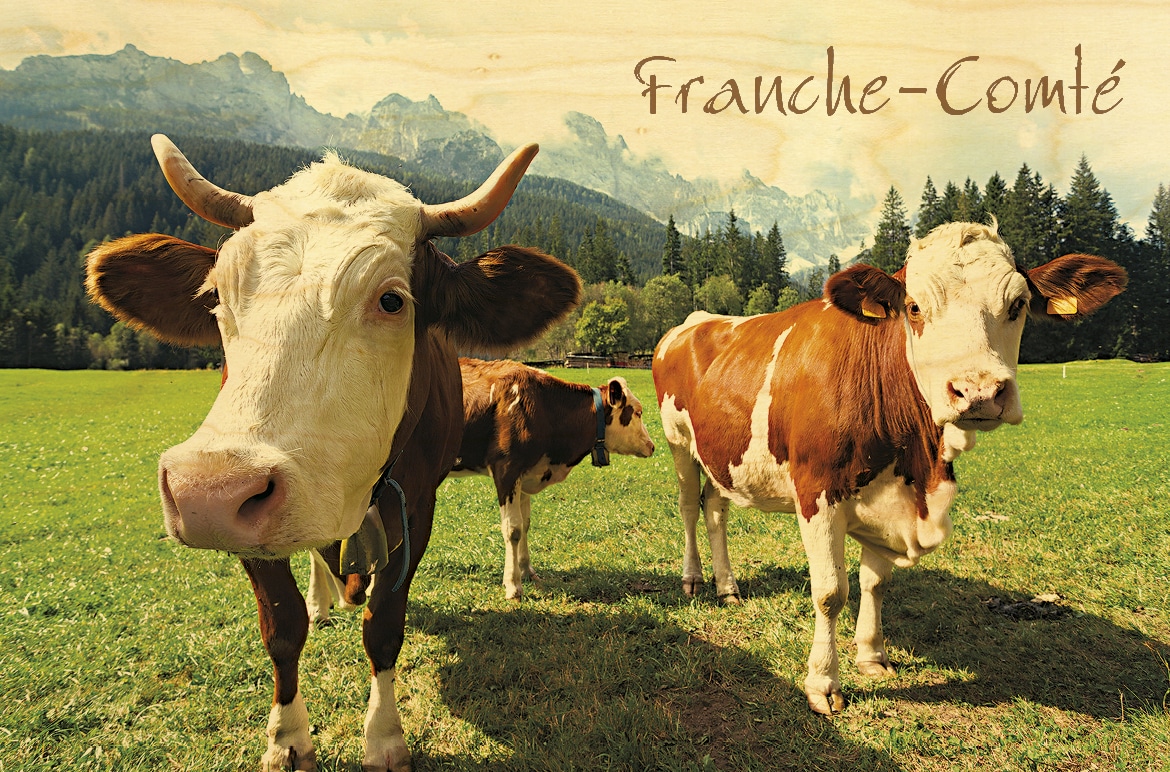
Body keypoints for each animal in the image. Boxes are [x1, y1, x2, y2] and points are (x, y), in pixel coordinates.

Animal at [85, 134, 581, 771]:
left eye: (392, 300)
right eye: (217, 295)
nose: (206, 492)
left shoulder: (416, 508)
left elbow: (383, 626)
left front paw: (384, 738)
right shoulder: (251, 526)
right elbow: (281, 626)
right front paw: (287, 738)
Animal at [652, 220, 1126, 715]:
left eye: (1018, 305)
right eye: (914, 307)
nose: (978, 391)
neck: (917, 462)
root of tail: (697, 320)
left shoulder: (890, 498)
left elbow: (875, 582)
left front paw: (871, 656)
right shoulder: (817, 493)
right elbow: (830, 592)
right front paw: (823, 683)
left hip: (720, 454)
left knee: (715, 510)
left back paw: (727, 586)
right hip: (678, 441)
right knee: (689, 506)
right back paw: (693, 578)